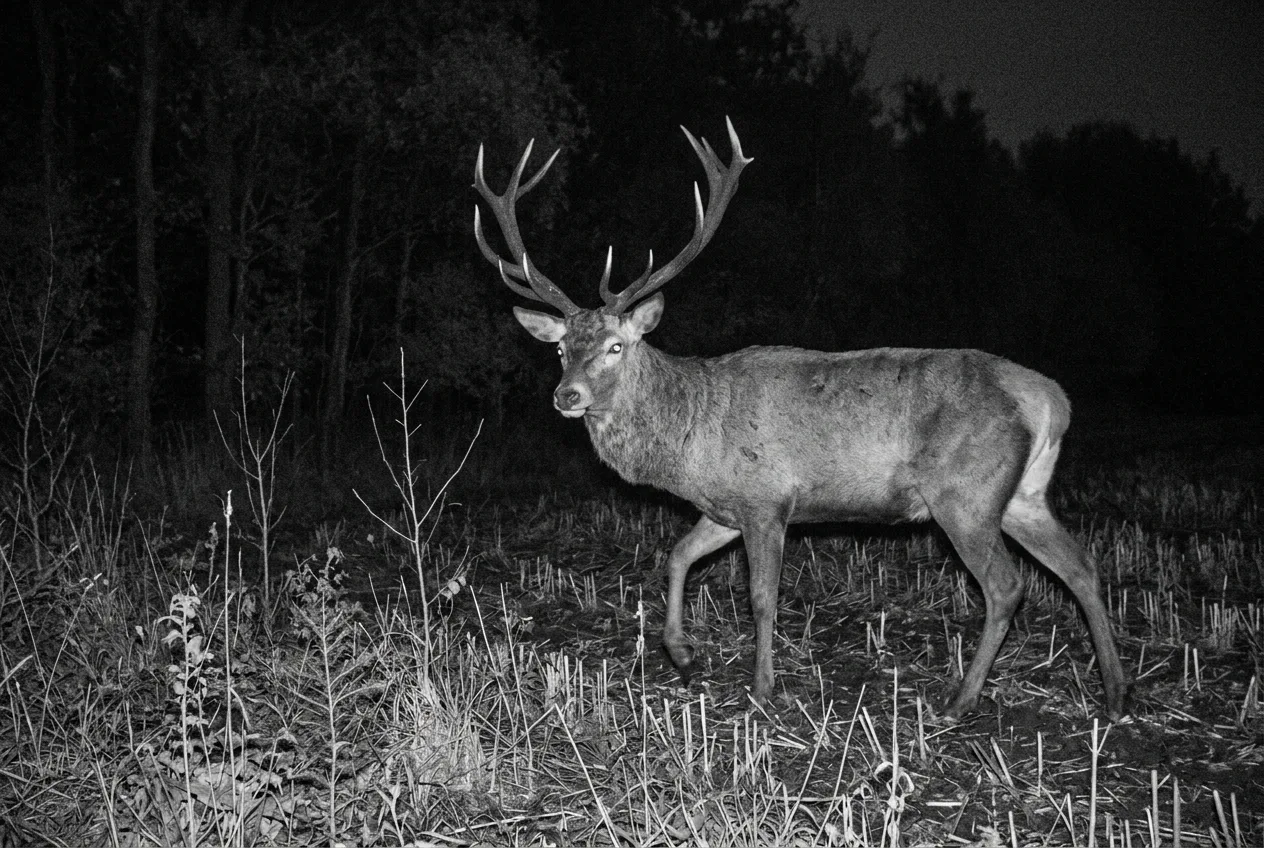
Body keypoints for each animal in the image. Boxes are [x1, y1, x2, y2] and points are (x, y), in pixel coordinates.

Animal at [473, 118, 1129, 720]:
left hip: (963, 493)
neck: (689, 441)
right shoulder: (725, 508)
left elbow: (762, 596)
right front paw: (682, 654)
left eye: (615, 346)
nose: (567, 396)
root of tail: (1049, 400)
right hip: (1022, 494)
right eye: (561, 348)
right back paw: (1117, 692)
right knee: (1081, 565)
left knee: (1007, 585)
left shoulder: (768, 498)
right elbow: (677, 555)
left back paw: (962, 698)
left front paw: (761, 690)